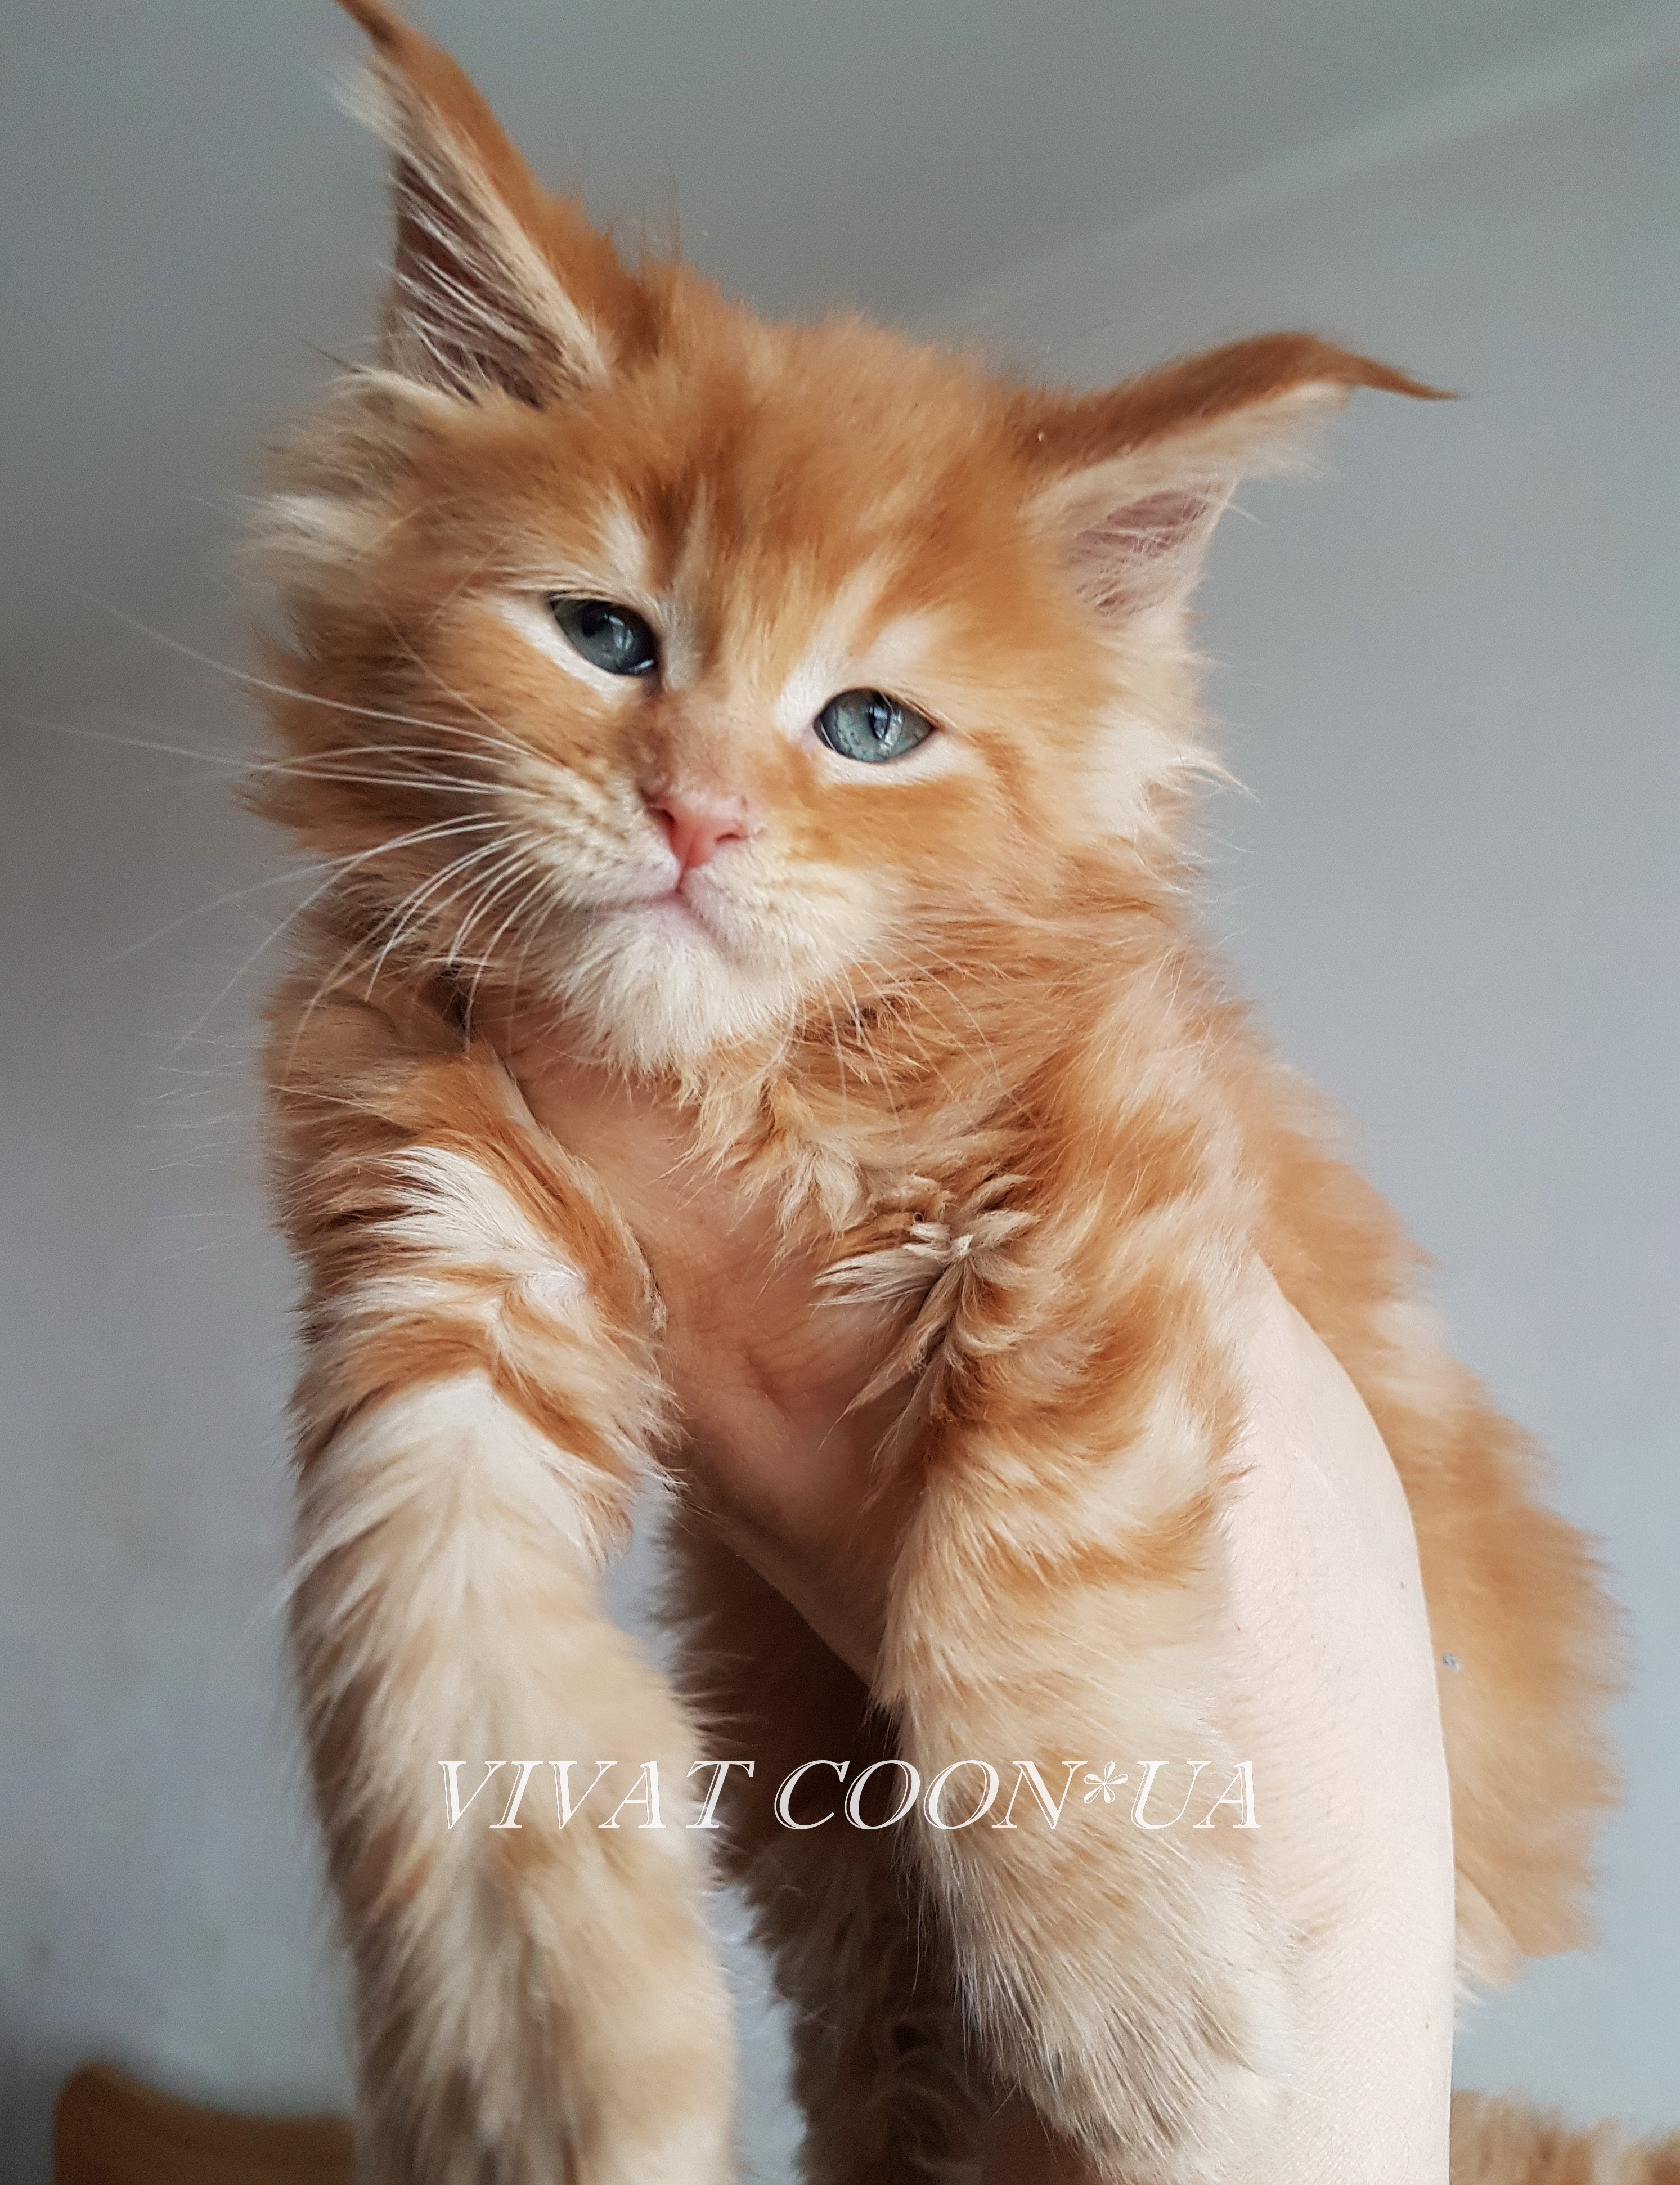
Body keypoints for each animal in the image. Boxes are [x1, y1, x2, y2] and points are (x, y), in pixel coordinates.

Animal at [256, 3, 1618, 2179]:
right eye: (604, 635)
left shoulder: (1119, 1158)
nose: (695, 814)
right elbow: (432, 1643)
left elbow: (1023, 1569)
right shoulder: (434, 1224)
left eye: (869, 727)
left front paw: (1127, 1980)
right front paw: (545, 2056)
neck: (731, 1074)